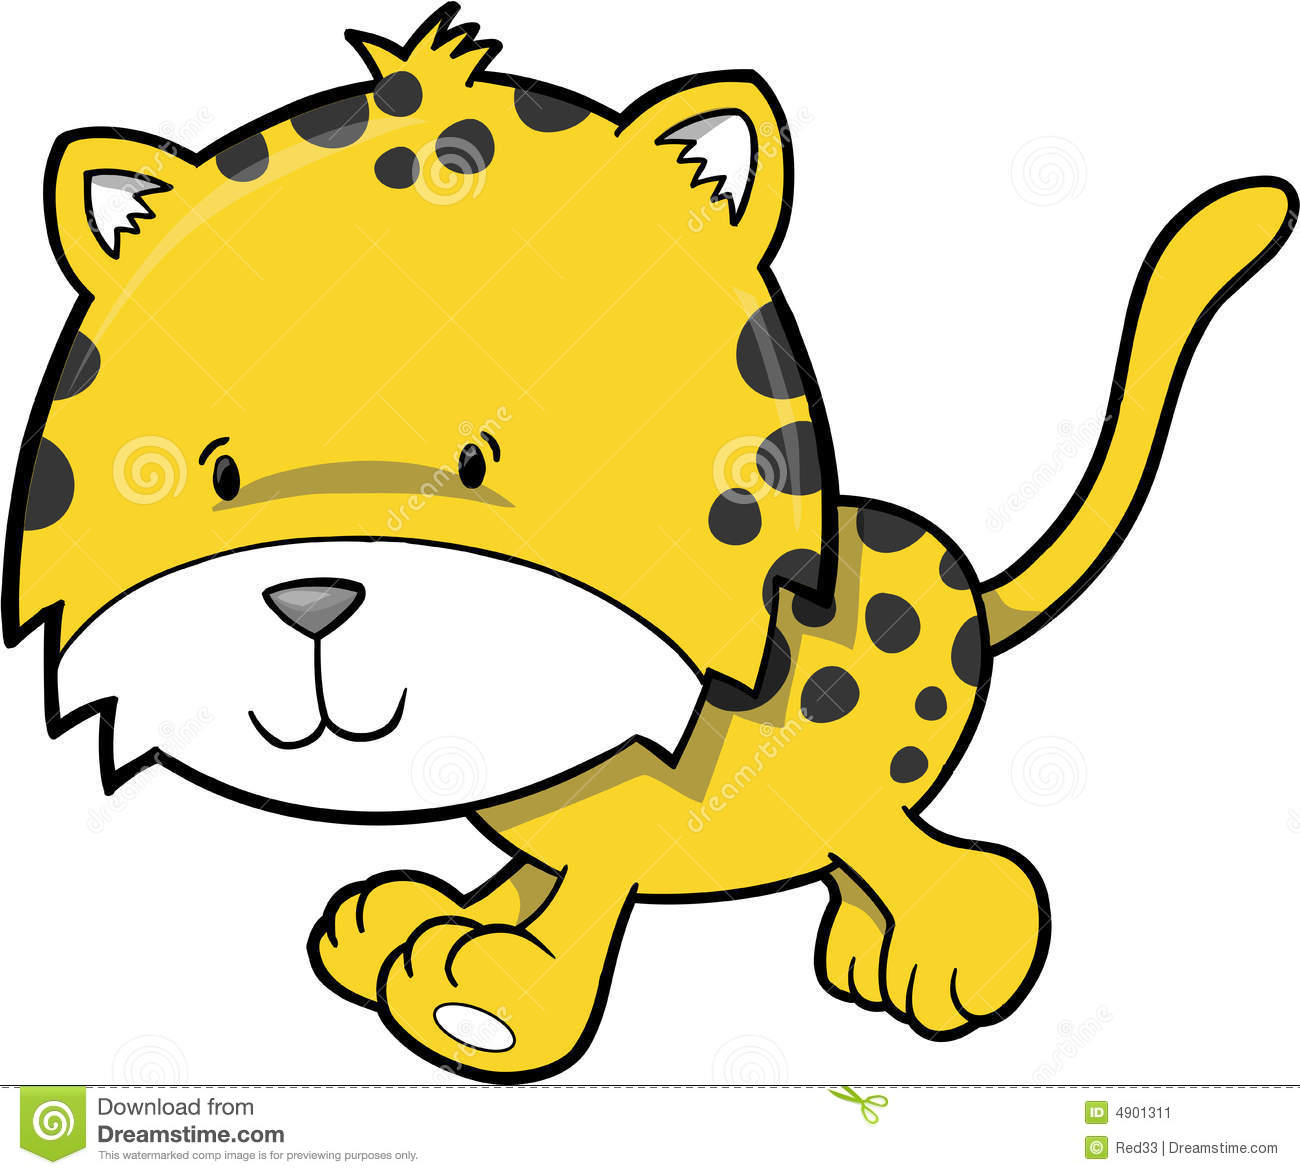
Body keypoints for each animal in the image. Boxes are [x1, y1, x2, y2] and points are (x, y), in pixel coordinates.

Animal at [4, 4, 1294, 1083]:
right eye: (215, 471)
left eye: (480, 459)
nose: (312, 598)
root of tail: (965, 579)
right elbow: (533, 876)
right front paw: (416, 930)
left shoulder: (626, 826)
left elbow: (573, 919)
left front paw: (483, 997)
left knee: (920, 851)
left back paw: (937, 953)